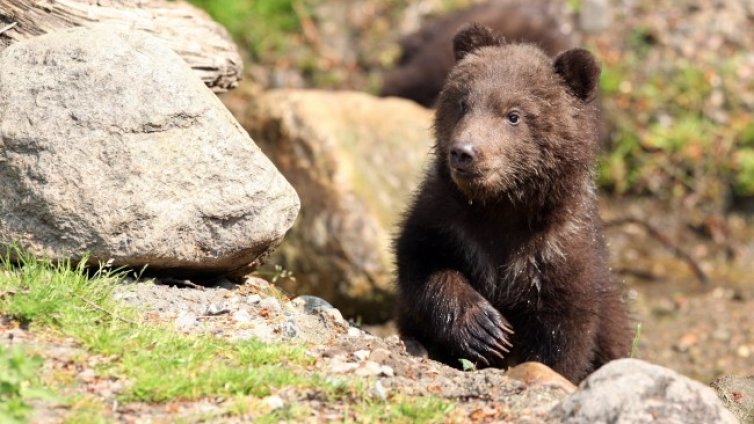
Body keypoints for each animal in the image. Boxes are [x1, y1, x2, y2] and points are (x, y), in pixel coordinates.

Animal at [394, 23, 628, 384]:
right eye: (463, 103)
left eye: (513, 115)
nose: (464, 152)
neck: (503, 207)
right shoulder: (445, 220)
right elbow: (422, 263)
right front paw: (485, 328)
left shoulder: (558, 253)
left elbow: (563, 338)